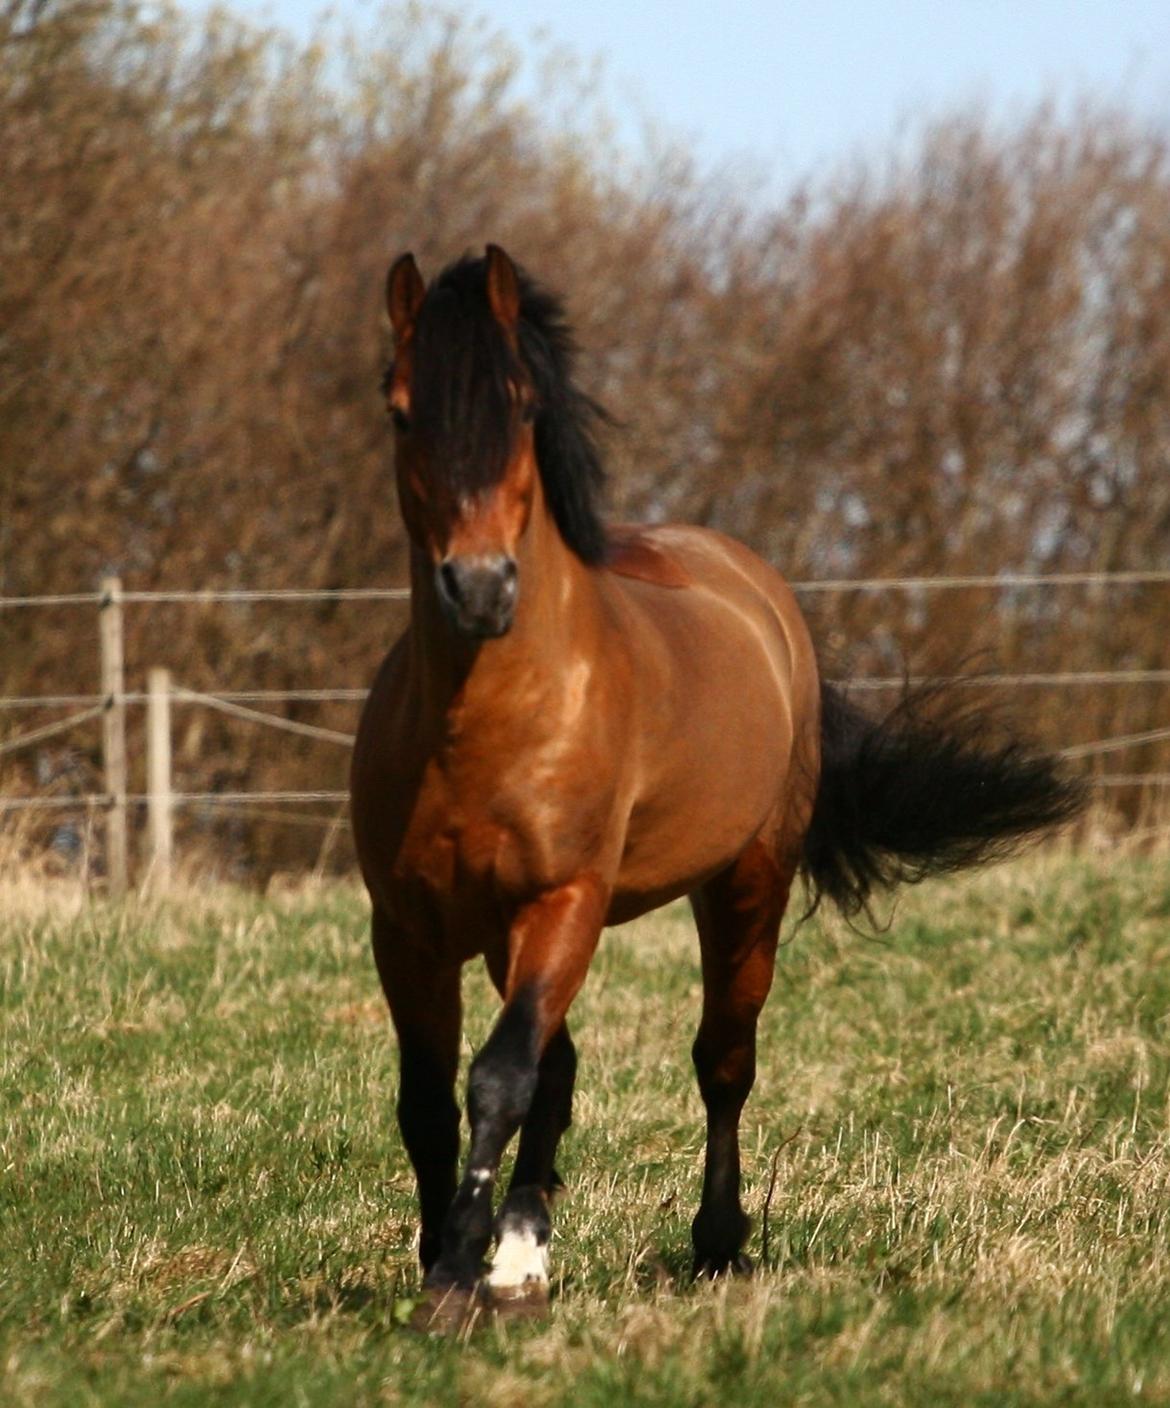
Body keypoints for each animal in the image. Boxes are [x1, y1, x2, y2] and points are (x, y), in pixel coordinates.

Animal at [350, 247, 1086, 1323]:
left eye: (522, 408)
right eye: (402, 411)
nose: (479, 588)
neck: (482, 719)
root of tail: (763, 593)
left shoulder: (564, 899)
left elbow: (497, 1078)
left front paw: (452, 1274)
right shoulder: (410, 926)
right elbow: (428, 1098)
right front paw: (446, 1258)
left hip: (743, 885)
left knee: (721, 1059)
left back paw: (712, 1244)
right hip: (507, 931)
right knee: (563, 1067)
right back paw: (526, 1257)